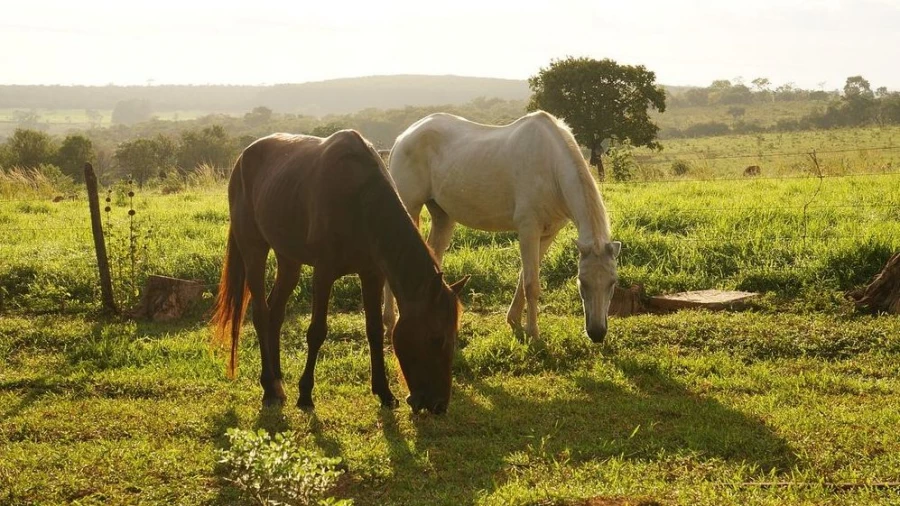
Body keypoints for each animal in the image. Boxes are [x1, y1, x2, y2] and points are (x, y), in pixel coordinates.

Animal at [212, 130, 472, 416]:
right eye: (436, 339)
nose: (438, 405)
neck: (360, 201)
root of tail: (242, 157)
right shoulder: (324, 273)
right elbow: (316, 332)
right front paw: (305, 395)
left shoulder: (372, 275)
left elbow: (373, 330)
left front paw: (384, 392)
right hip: (253, 249)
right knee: (261, 313)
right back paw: (270, 388)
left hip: (289, 259)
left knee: (275, 313)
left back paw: (278, 380)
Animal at [384, 109, 624, 340]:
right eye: (582, 281)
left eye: (612, 282)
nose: (597, 333)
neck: (551, 167)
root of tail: (403, 137)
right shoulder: (528, 230)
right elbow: (531, 284)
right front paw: (533, 333)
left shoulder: (548, 234)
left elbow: (524, 276)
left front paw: (514, 320)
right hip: (409, 206)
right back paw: (390, 323)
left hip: (443, 216)